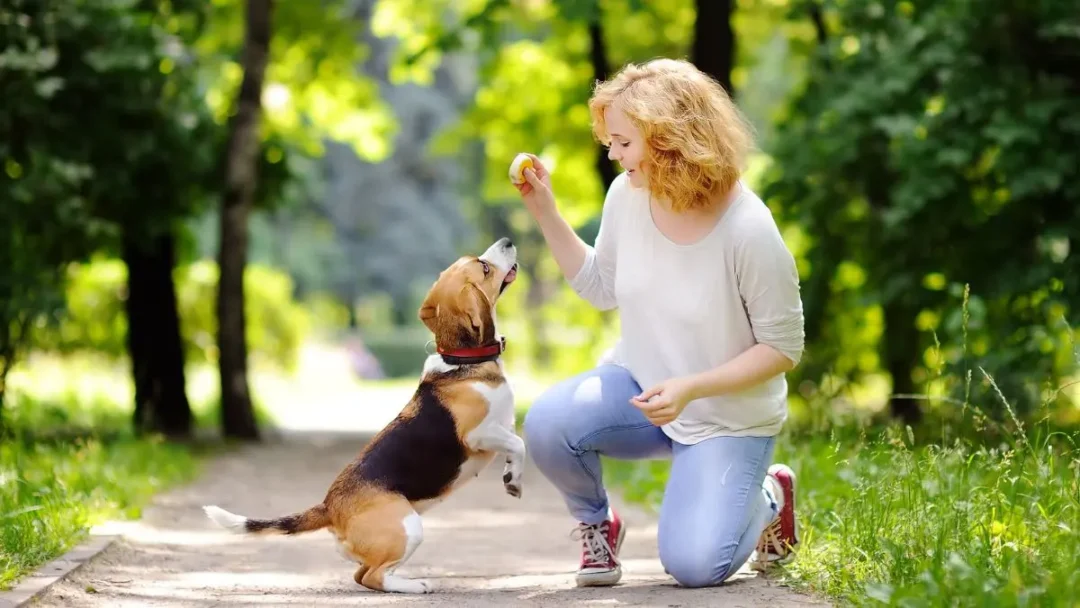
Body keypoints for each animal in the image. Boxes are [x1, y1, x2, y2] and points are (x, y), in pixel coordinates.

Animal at [203, 237, 527, 596]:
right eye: (483, 268)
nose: (507, 241)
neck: (462, 361)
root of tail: (329, 506)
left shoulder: (502, 428)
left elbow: (515, 445)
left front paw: (511, 477)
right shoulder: (479, 434)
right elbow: (519, 443)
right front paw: (514, 479)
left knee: (362, 575)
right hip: (408, 527)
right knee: (373, 575)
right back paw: (415, 585)